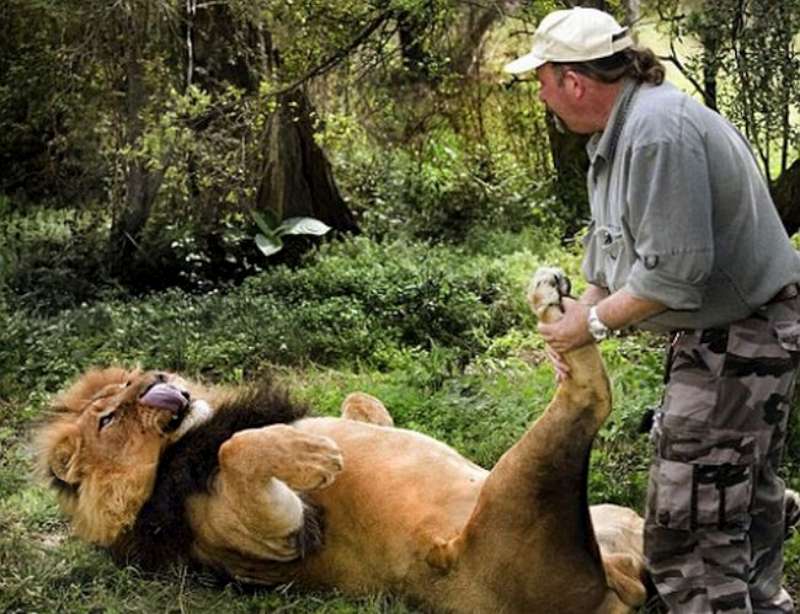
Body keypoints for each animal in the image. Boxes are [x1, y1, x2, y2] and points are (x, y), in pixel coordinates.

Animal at [36, 268, 649, 613]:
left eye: (129, 379)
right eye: (108, 419)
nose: (154, 379)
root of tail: (619, 589)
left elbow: (359, 402)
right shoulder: (274, 536)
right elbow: (238, 449)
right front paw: (314, 456)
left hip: (617, 517)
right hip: (518, 491)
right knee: (589, 395)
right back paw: (554, 309)